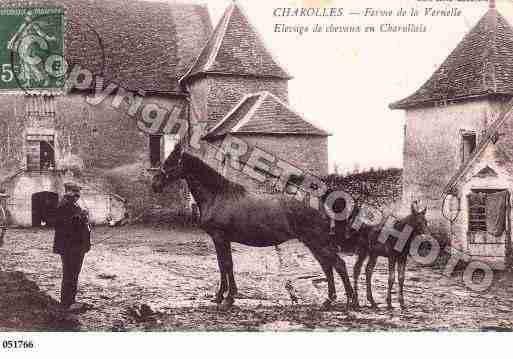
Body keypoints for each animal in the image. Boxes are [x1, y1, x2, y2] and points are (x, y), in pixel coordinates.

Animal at [151, 142, 356, 310]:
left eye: (171, 161)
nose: (155, 184)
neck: (217, 195)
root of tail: (322, 201)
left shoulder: (220, 237)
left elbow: (225, 264)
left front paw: (227, 298)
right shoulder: (222, 239)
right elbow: (224, 265)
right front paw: (222, 297)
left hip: (317, 241)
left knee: (338, 264)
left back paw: (350, 301)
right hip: (313, 242)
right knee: (327, 266)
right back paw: (328, 301)